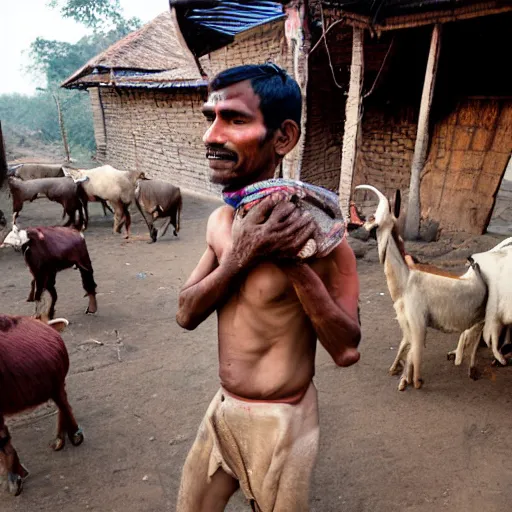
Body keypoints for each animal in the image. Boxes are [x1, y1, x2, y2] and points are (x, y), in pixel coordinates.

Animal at [354, 186, 486, 390]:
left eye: (373, 218)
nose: (357, 228)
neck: (406, 280)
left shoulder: (418, 323)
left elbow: (414, 351)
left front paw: (412, 381)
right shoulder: (406, 321)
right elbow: (406, 347)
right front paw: (398, 372)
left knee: (474, 341)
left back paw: (471, 369)